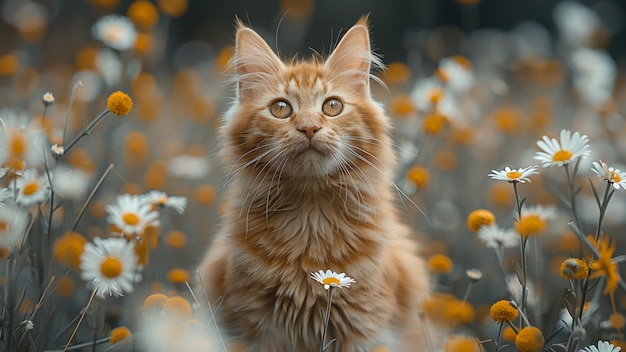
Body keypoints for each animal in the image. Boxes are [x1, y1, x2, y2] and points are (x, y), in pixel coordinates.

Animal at [197, 17, 432, 352]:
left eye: (332, 106)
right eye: (281, 108)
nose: (309, 128)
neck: (311, 218)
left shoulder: (366, 329)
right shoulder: (255, 329)